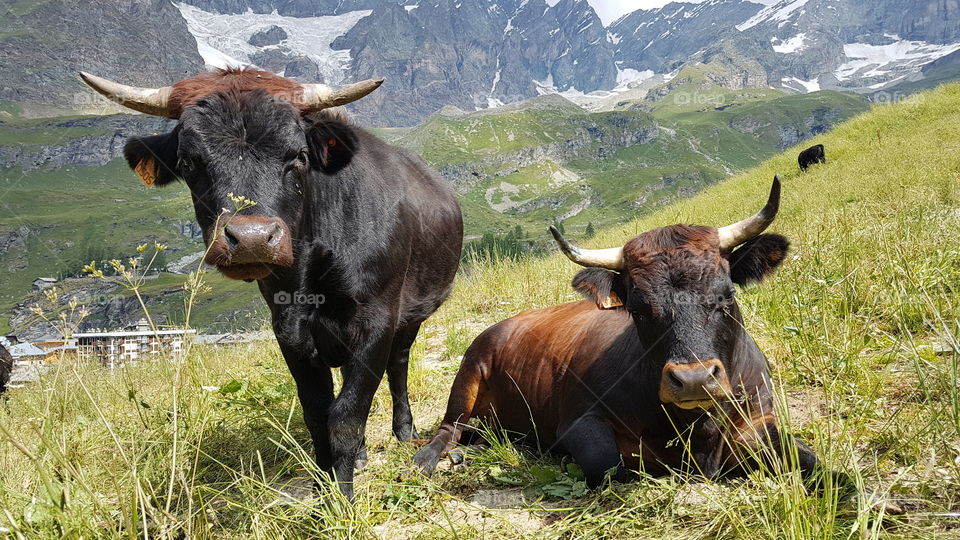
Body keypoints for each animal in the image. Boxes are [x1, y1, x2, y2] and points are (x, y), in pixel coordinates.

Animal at [80, 69, 463, 500]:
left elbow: (347, 415)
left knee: (398, 366)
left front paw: (342, 498)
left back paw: (404, 430)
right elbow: (318, 413)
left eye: (298, 156)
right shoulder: (289, 329)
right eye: (189, 161)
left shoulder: (376, 320)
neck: (313, 273)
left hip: (412, 313)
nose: (251, 238)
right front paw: (322, 488)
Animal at [414, 177, 831, 490]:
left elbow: (811, 459)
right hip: (468, 376)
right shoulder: (580, 421)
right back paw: (434, 457)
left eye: (726, 294)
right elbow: (608, 464)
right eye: (638, 309)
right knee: (449, 427)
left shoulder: (761, 419)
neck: (698, 430)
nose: (693, 380)